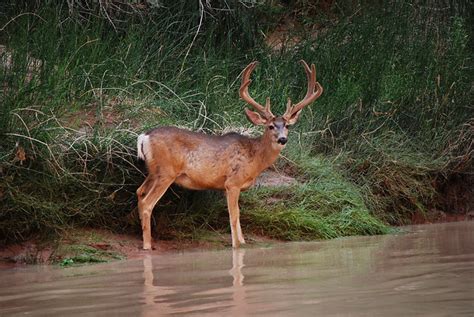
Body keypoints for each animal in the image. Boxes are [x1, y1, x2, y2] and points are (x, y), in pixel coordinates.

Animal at [135, 59, 324, 249]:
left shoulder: (228, 186)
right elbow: (234, 216)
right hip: (167, 171)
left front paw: (243, 242)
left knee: (139, 192)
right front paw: (236, 245)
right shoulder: (233, 182)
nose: (283, 139)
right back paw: (147, 245)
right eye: (270, 126)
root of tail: (145, 136)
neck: (255, 157)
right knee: (147, 203)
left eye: (287, 126)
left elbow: (237, 217)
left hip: (154, 171)